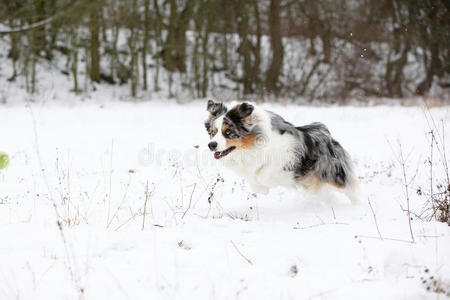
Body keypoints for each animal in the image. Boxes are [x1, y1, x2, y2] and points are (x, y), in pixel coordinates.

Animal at [206, 99, 360, 203]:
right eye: (213, 132)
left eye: (228, 132)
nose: (211, 145)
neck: (250, 148)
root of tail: (328, 135)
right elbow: (254, 179)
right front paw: (261, 189)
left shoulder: (288, 153)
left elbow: (264, 174)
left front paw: (268, 184)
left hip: (332, 174)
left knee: (352, 191)